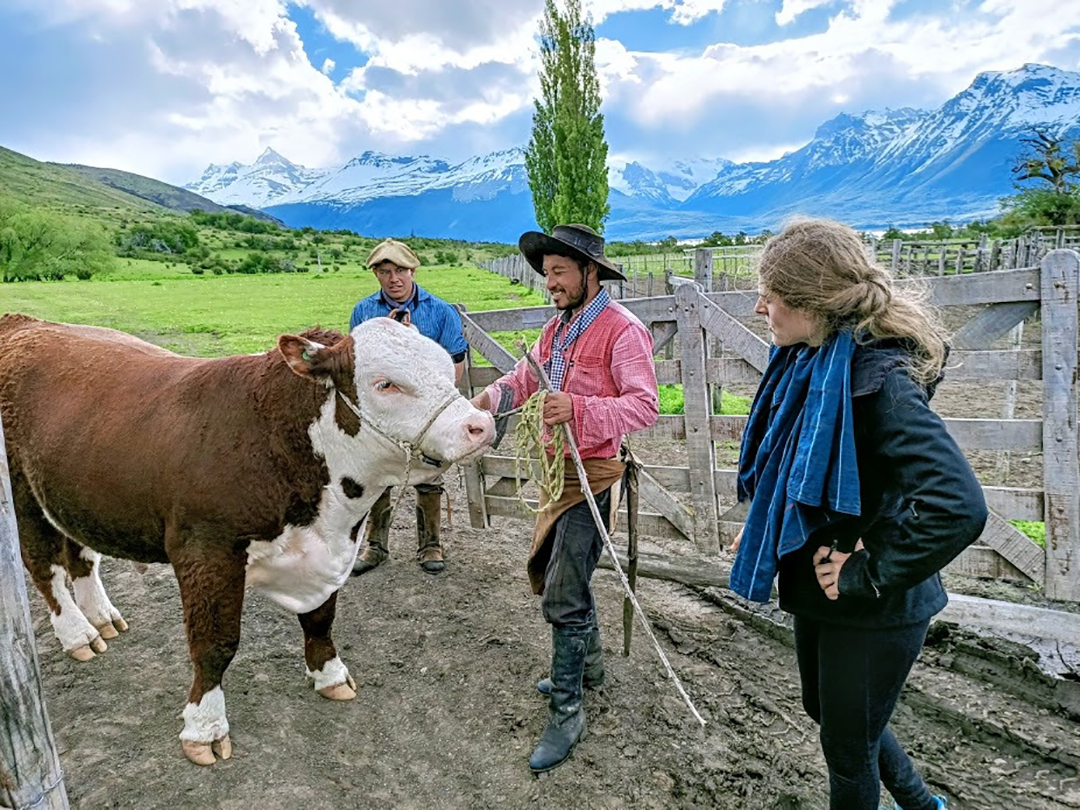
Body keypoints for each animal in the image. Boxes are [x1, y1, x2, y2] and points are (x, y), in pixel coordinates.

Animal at [0, 315, 494, 768]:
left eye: (444, 365)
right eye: (386, 384)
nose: (481, 424)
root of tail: (26, 322)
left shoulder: (328, 552)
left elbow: (321, 618)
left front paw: (330, 674)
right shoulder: (205, 552)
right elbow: (214, 643)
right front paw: (204, 726)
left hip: (72, 496)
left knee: (80, 555)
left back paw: (102, 618)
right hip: (23, 497)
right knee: (44, 565)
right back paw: (77, 632)